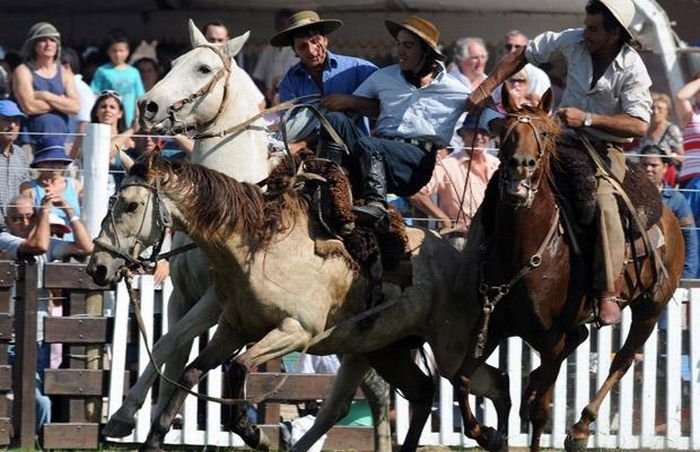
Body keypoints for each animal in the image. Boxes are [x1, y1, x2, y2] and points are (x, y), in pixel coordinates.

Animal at [102, 19, 394, 450]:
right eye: (173, 62)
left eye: (204, 68)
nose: (148, 106)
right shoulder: (182, 295)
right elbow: (170, 349)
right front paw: (144, 421)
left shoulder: (213, 300)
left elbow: (172, 343)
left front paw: (124, 417)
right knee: (367, 391)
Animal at [454, 90, 684, 450]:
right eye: (504, 130)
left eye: (544, 133)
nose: (520, 168)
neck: (523, 253)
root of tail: (670, 219)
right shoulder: (491, 326)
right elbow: (462, 379)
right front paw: (489, 435)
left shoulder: (551, 338)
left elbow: (540, 413)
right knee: (580, 340)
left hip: (650, 308)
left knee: (622, 360)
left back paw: (579, 429)